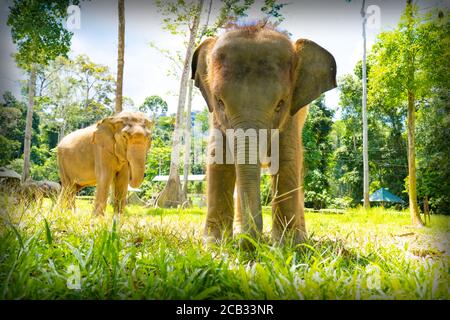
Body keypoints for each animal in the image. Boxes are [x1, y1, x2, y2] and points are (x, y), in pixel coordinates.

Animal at [192, 23, 336, 246]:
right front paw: (214, 244)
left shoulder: (291, 116)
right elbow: (219, 158)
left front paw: (288, 245)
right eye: (219, 101)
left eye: (280, 104)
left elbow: (286, 158)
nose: (250, 243)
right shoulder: (215, 117)